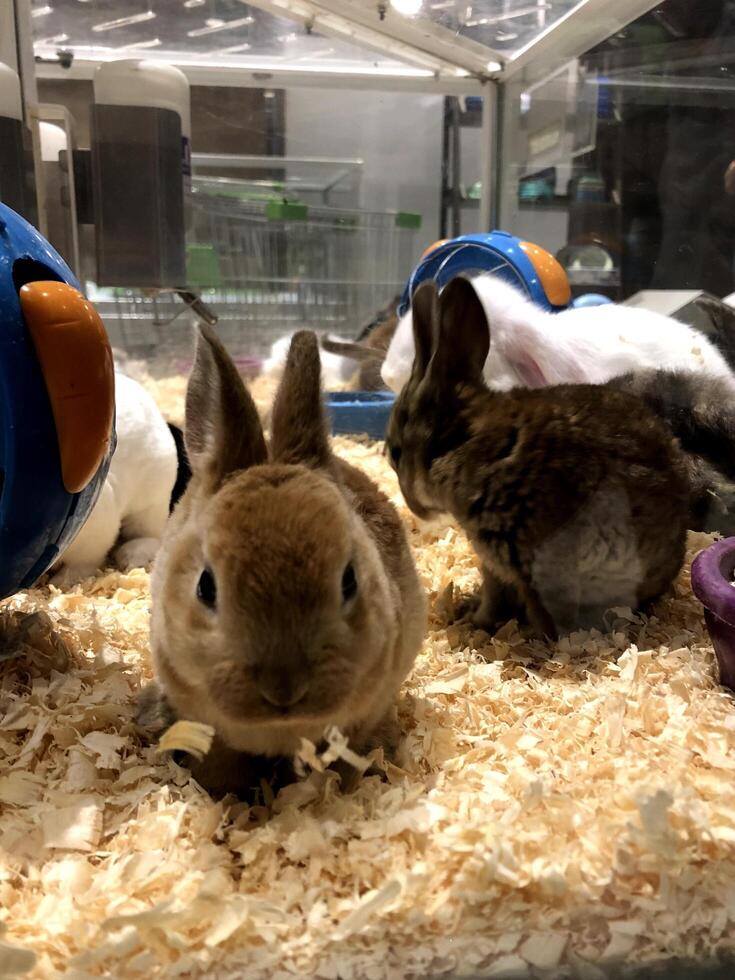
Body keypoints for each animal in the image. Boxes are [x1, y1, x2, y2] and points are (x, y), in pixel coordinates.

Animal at [50, 372, 178, 584]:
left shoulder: (93, 537)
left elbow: (82, 563)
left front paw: (60, 582)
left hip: (149, 506)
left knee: (152, 535)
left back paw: (129, 557)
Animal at [388, 278, 692, 644]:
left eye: (394, 453)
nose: (413, 507)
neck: (463, 444)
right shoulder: (495, 566)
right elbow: (492, 596)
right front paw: (475, 619)